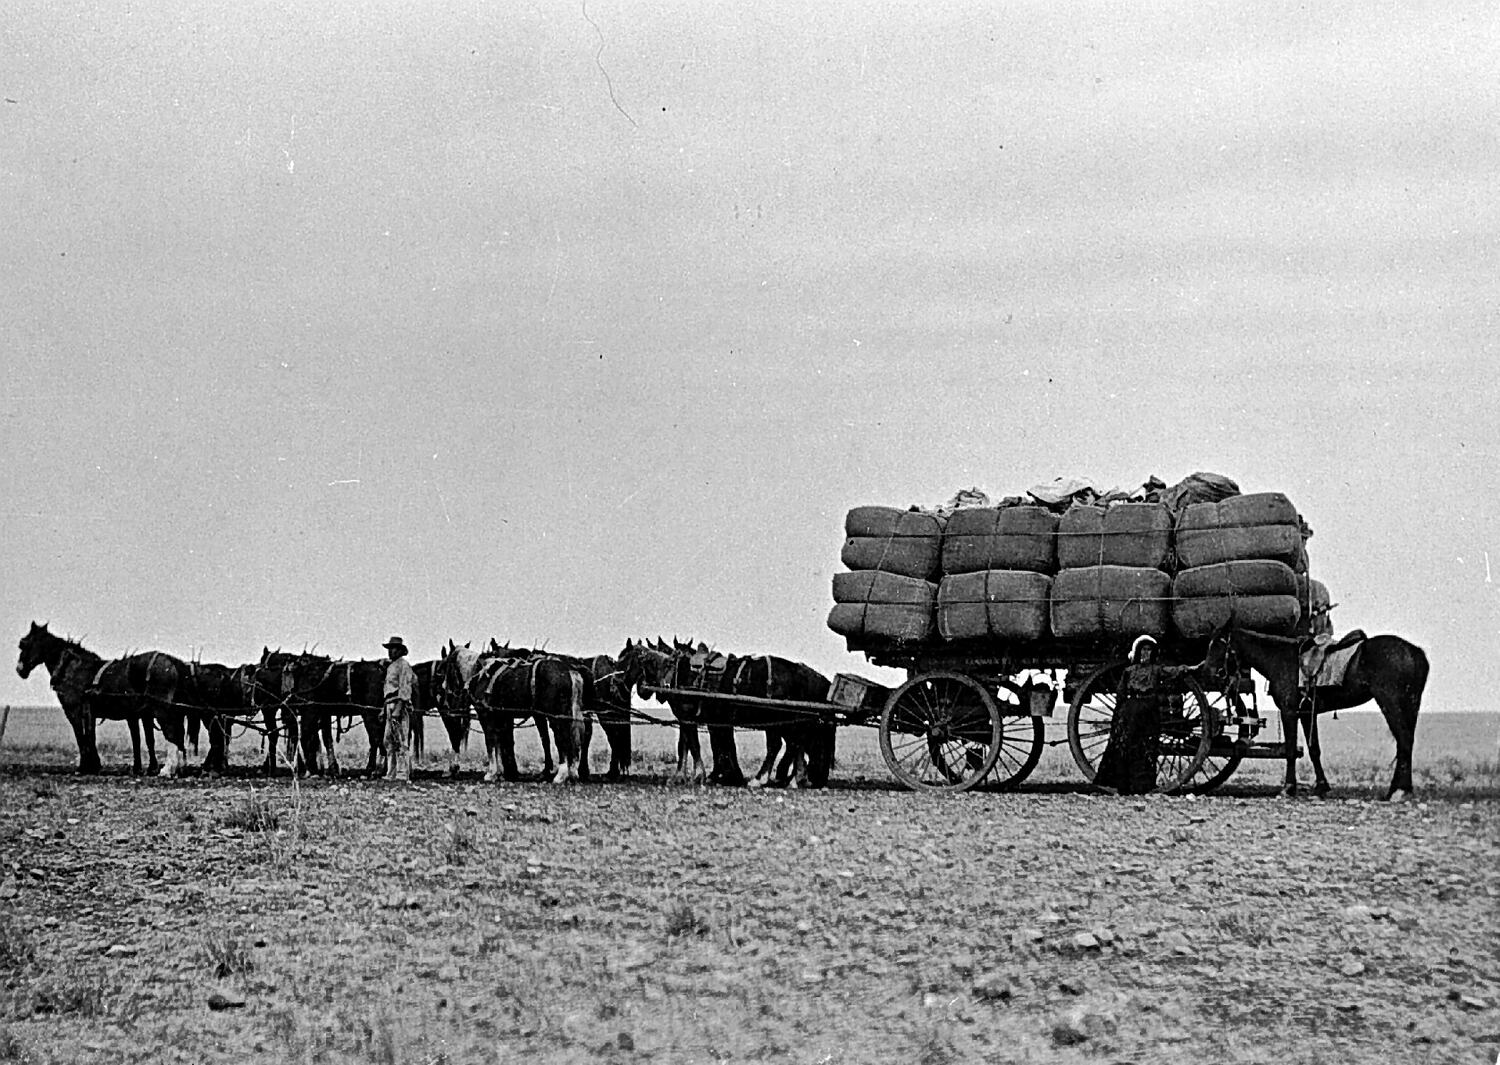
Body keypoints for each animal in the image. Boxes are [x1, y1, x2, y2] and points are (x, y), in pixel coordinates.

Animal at [1206, 627, 1428, 804]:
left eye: (1219, 644)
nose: (1205, 670)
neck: (1281, 659)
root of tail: (1414, 651)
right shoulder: (1306, 714)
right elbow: (1314, 750)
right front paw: (1321, 786)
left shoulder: (1289, 712)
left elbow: (1290, 750)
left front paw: (1288, 788)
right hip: (1410, 705)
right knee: (1406, 742)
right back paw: (1399, 790)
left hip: (1391, 704)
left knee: (1404, 741)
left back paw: (1398, 791)